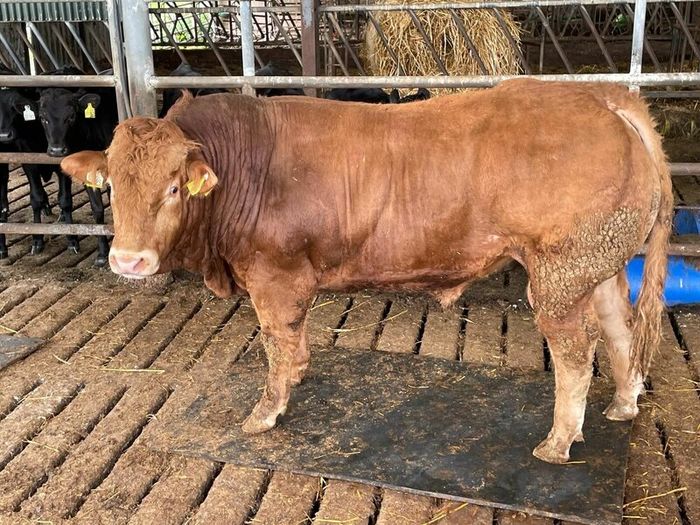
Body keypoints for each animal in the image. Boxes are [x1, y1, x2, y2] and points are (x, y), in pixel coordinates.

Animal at [60, 79, 672, 464]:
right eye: (110, 184)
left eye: (172, 188)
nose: (129, 260)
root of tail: (601, 95)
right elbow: (295, 343)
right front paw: (298, 377)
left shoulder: (274, 275)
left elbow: (277, 341)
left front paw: (266, 411)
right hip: (600, 267)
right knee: (620, 331)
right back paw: (622, 405)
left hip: (560, 271)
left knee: (576, 353)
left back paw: (558, 441)